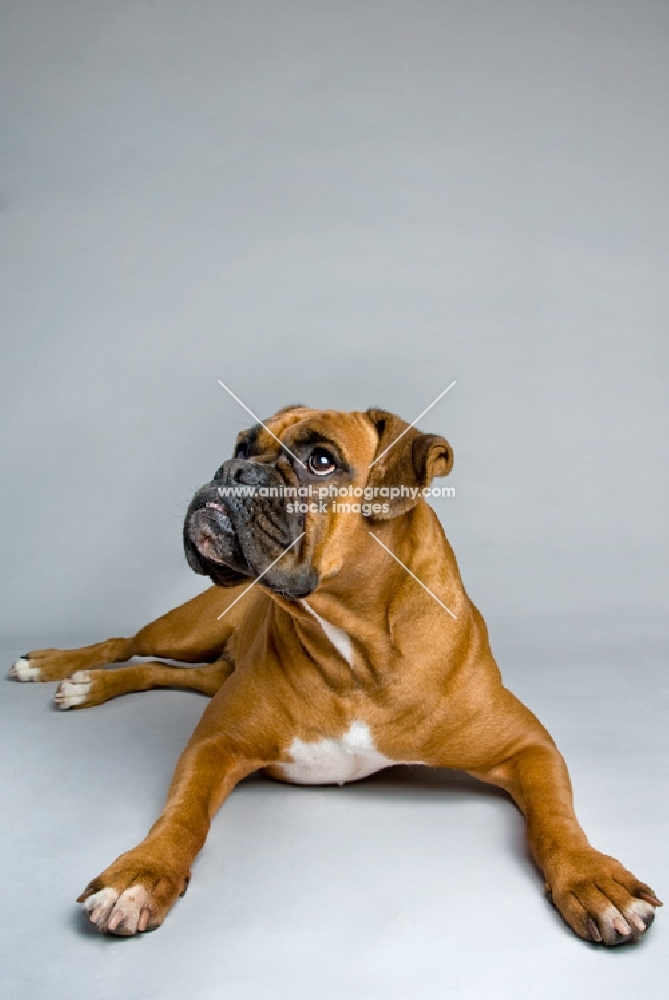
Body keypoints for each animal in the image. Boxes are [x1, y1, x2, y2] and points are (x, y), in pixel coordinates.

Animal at [7, 402, 660, 940]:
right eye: (242, 445)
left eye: (320, 461)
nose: (230, 470)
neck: (356, 648)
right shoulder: (215, 744)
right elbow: (183, 815)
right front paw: (141, 874)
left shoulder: (529, 747)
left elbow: (556, 819)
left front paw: (591, 878)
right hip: (189, 628)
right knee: (128, 643)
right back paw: (63, 668)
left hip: (208, 663)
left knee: (167, 670)